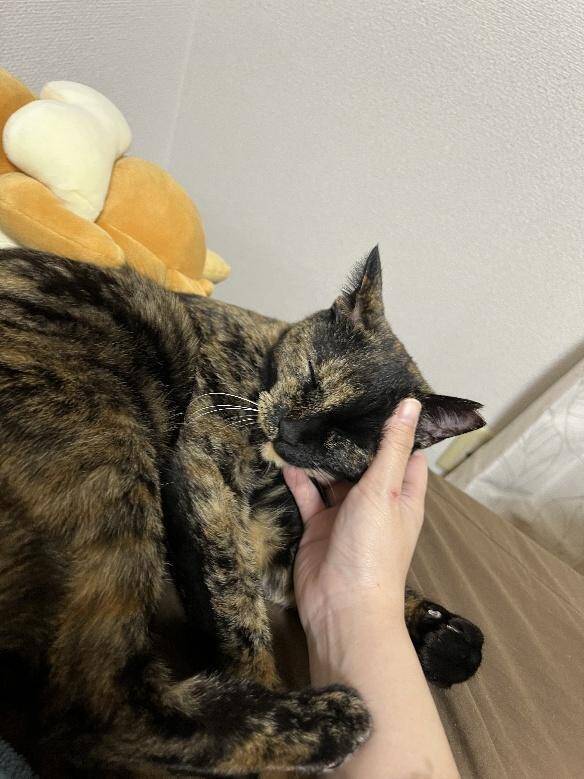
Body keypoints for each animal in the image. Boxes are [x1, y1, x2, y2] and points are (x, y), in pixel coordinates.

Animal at [0, 245, 484, 777]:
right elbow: (235, 598)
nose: (290, 432)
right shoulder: (202, 473)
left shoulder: (275, 544)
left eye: (348, 438)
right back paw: (329, 720)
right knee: (95, 709)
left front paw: (444, 635)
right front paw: (257, 675)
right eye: (312, 375)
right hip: (110, 455)